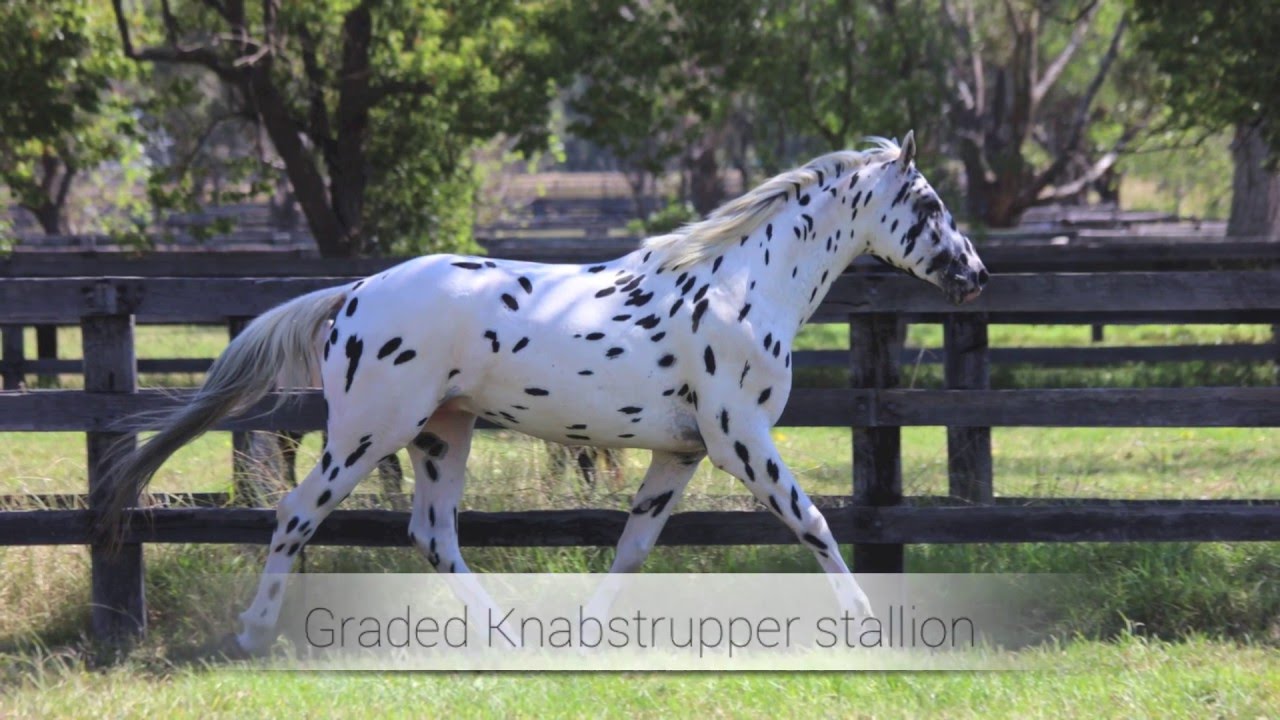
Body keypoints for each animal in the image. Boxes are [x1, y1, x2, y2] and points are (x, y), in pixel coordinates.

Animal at [98, 132, 987, 655]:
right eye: (930, 203)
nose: (975, 275)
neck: (739, 289)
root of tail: (353, 293)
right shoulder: (741, 440)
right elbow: (813, 522)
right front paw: (868, 623)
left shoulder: (681, 453)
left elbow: (633, 547)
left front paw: (586, 633)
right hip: (368, 433)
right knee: (295, 513)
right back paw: (254, 634)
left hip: (442, 435)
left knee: (432, 535)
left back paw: (510, 636)